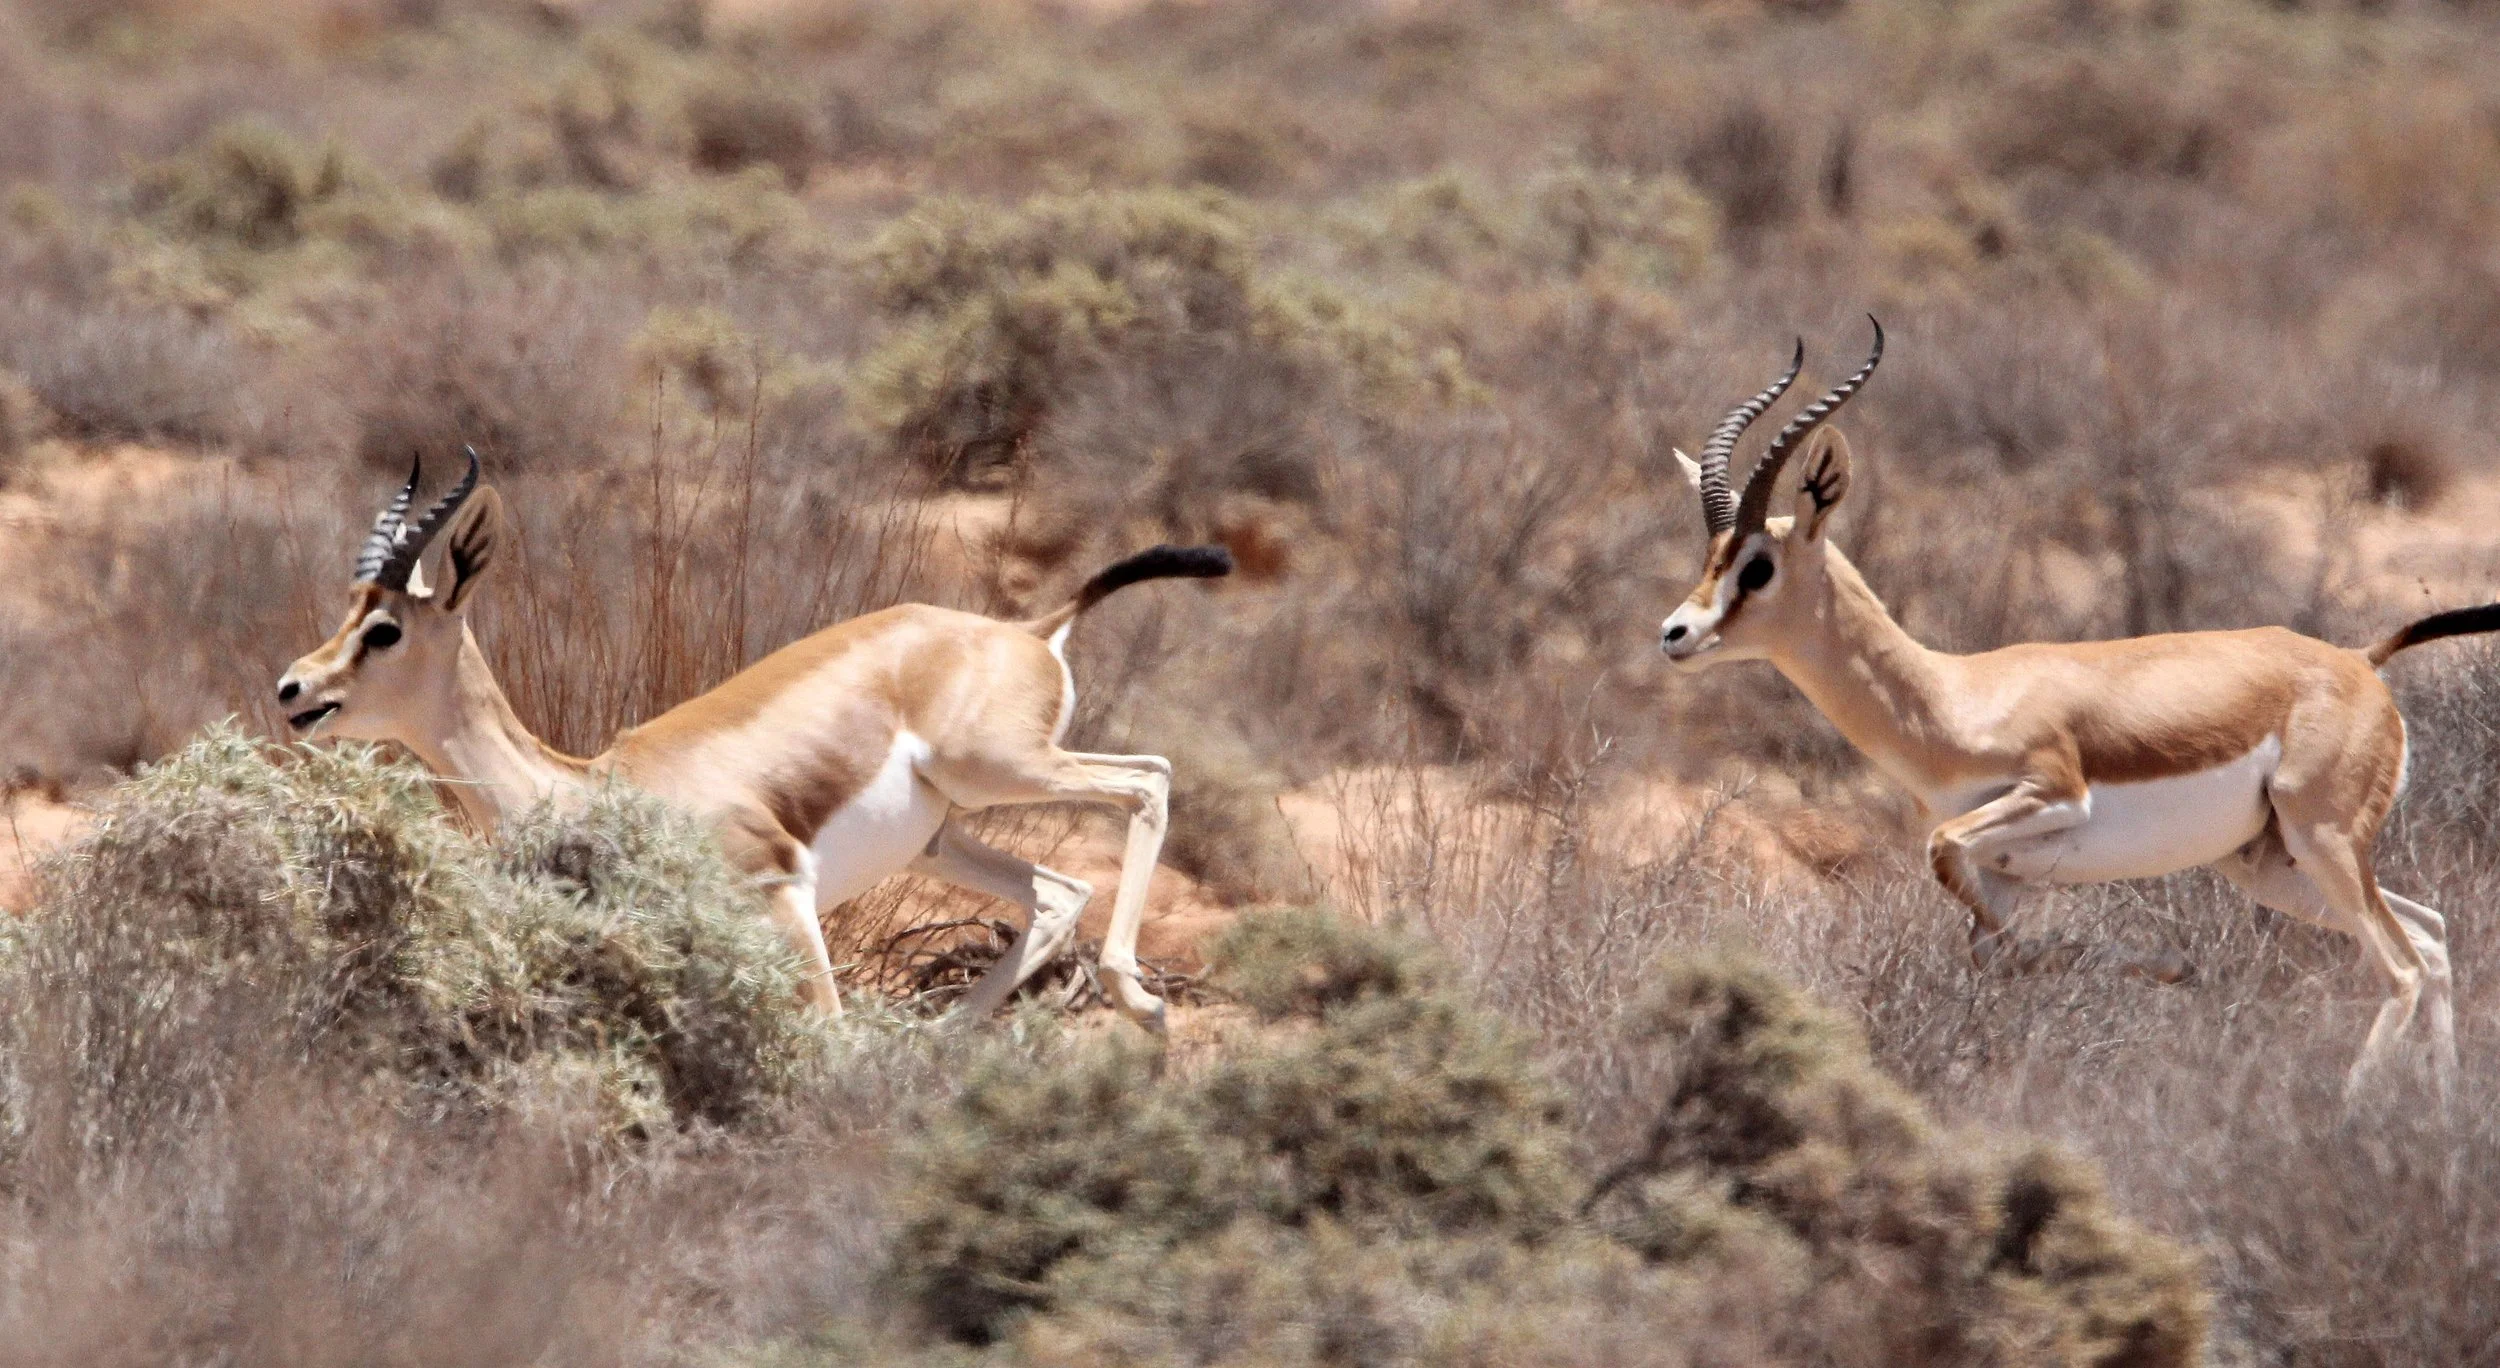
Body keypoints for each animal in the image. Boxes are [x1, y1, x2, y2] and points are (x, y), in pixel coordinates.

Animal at [277, 450, 1232, 1028]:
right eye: (347, 611)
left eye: (386, 630)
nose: (293, 690)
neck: (588, 785)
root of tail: (1031, 629)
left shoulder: (780, 894)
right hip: (942, 834)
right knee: (1059, 892)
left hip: (1003, 771)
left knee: (1148, 779)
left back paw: (1140, 1001)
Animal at [1661, 320, 2495, 1096]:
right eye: (1709, 559)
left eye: (1757, 567)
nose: (1675, 633)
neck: (1954, 696)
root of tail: (2359, 662)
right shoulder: (2003, 872)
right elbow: (1993, 947)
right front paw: (2166, 963)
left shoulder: (2052, 796)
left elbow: (1950, 863)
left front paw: (2168, 964)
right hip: (2274, 864)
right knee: (2432, 938)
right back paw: (2443, 1104)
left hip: (2323, 844)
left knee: (2401, 967)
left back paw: (2354, 1109)